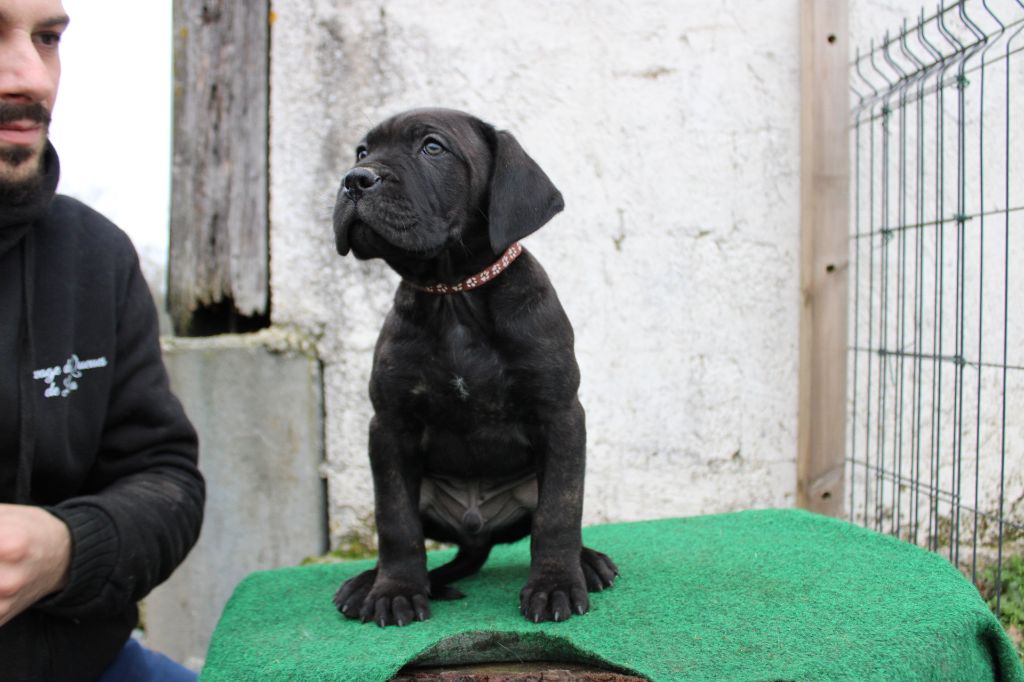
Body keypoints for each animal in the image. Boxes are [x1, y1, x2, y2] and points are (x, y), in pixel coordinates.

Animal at [331, 109, 610, 622]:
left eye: (433, 148)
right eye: (362, 151)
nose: (354, 180)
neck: (453, 294)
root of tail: (476, 528)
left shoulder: (560, 415)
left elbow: (560, 512)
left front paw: (556, 583)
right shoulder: (390, 425)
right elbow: (394, 520)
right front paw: (396, 590)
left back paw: (587, 563)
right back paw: (368, 582)